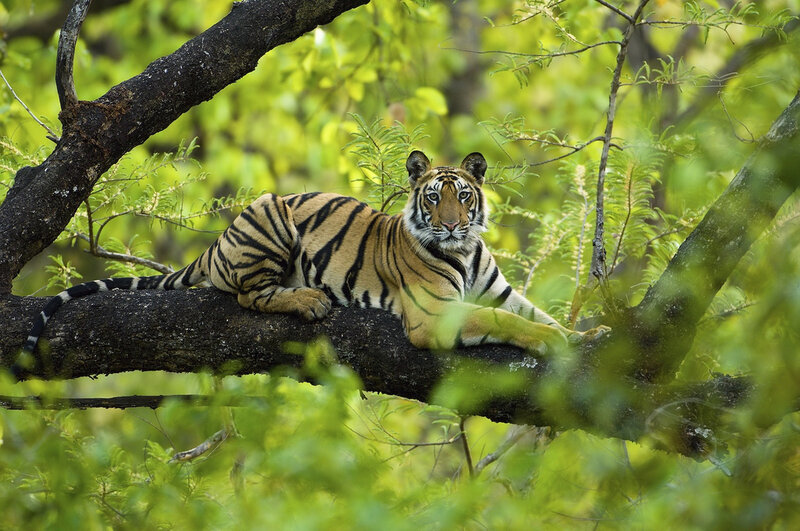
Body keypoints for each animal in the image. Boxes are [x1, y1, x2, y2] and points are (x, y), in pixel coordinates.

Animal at [15, 151, 608, 377]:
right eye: (433, 197)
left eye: (463, 197)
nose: (450, 225)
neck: (463, 252)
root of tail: (216, 242)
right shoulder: (435, 315)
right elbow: (508, 323)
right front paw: (554, 343)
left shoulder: (498, 290)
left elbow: (533, 314)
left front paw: (587, 335)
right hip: (271, 216)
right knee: (249, 295)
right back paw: (309, 300)